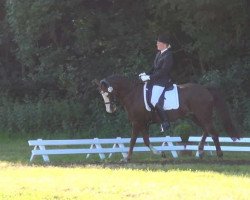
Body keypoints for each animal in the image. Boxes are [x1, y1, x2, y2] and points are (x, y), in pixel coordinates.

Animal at [94, 74, 240, 162]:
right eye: (101, 94)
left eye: (108, 93)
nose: (110, 110)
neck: (132, 94)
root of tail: (205, 89)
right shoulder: (143, 123)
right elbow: (146, 141)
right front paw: (161, 154)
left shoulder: (137, 122)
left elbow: (132, 141)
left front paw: (127, 158)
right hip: (195, 116)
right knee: (207, 130)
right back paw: (200, 151)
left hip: (203, 115)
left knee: (213, 132)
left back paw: (219, 155)